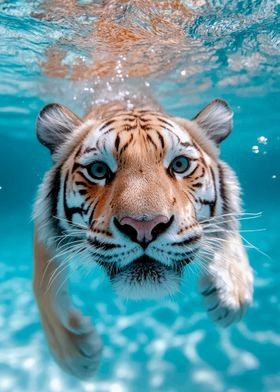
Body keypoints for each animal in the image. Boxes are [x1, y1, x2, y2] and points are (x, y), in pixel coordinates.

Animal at [33, 99, 254, 380]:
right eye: (98, 170)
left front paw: (231, 292)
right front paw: (74, 353)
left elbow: (227, 226)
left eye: (180, 165)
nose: (144, 226)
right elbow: (44, 290)